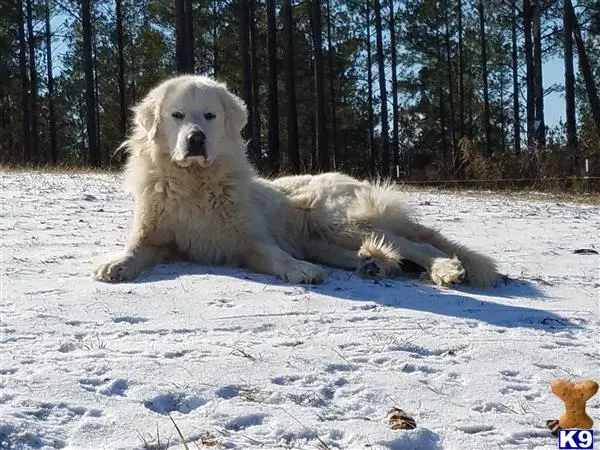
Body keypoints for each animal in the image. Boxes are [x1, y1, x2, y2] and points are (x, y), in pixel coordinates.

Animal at [91, 72, 500, 286]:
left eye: (209, 115)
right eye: (177, 115)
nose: (196, 139)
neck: (194, 182)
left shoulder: (251, 241)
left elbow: (277, 256)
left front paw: (300, 271)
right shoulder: (155, 237)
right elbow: (135, 249)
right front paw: (115, 265)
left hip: (336, 221)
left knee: (417, 245)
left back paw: (446, 269)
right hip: (323, 238)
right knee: (388, 251)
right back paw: (373, 264)